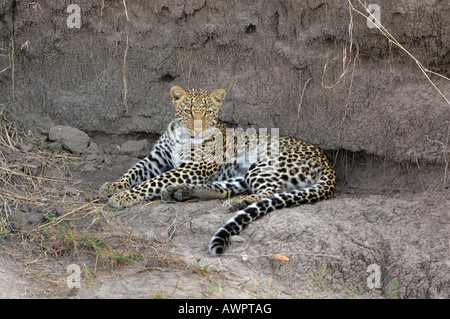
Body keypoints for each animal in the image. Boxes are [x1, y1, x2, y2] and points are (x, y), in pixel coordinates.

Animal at [100, 86, 336, 256]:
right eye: (188, 112)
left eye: (207, 113)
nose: (197, 130)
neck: (182, 137)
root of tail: (328, 163)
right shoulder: (156, 159)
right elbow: (134, 171)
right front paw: (113, 186)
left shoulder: (192, 167)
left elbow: (152, 182)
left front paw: (124, 197)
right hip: (241, 175)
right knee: (225, 189)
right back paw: (182, 192)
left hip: (263, 165)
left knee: (272, 191)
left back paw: (238, 202)